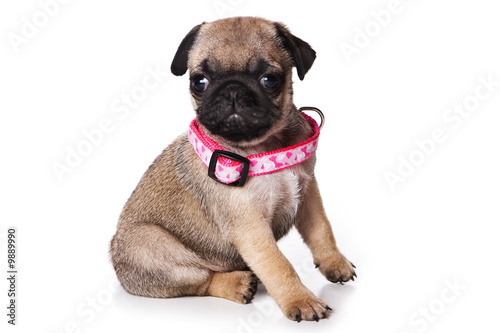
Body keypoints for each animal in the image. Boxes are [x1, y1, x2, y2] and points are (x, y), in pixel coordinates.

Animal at [111, 16, 358, 322]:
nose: (232, 90)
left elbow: (322, 230)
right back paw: (237, 283)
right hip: (149, 246)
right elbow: (278, 264)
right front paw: (301, 300)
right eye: (199, 82)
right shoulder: (250, 226)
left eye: (269, 80)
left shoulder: (308, 194)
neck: (266, 146)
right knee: (201, 280)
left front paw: (334, 262)